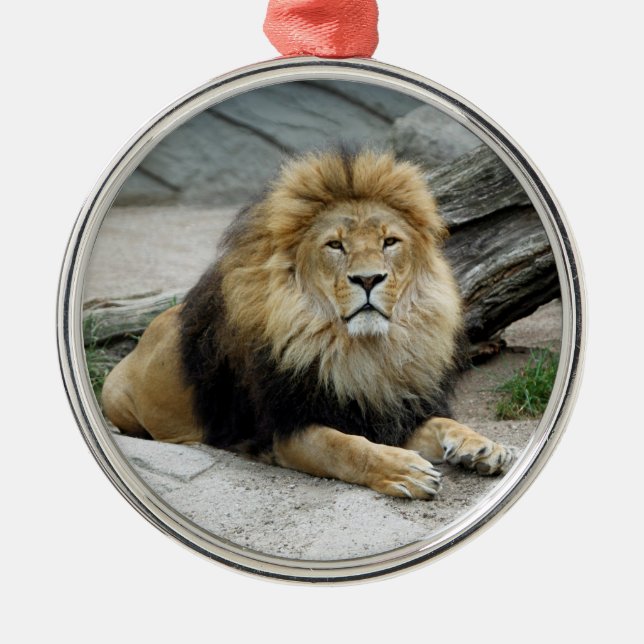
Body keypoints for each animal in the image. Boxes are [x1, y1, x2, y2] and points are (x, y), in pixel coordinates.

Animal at [102, 149, 515, 500]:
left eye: (390, 242)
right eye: (336, 245)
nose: (368, 279)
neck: (363, 351)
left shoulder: (388, 410)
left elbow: (442, 422)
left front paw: (483, 446)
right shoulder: (284, 430)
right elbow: (347, 447)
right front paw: (405, 470)